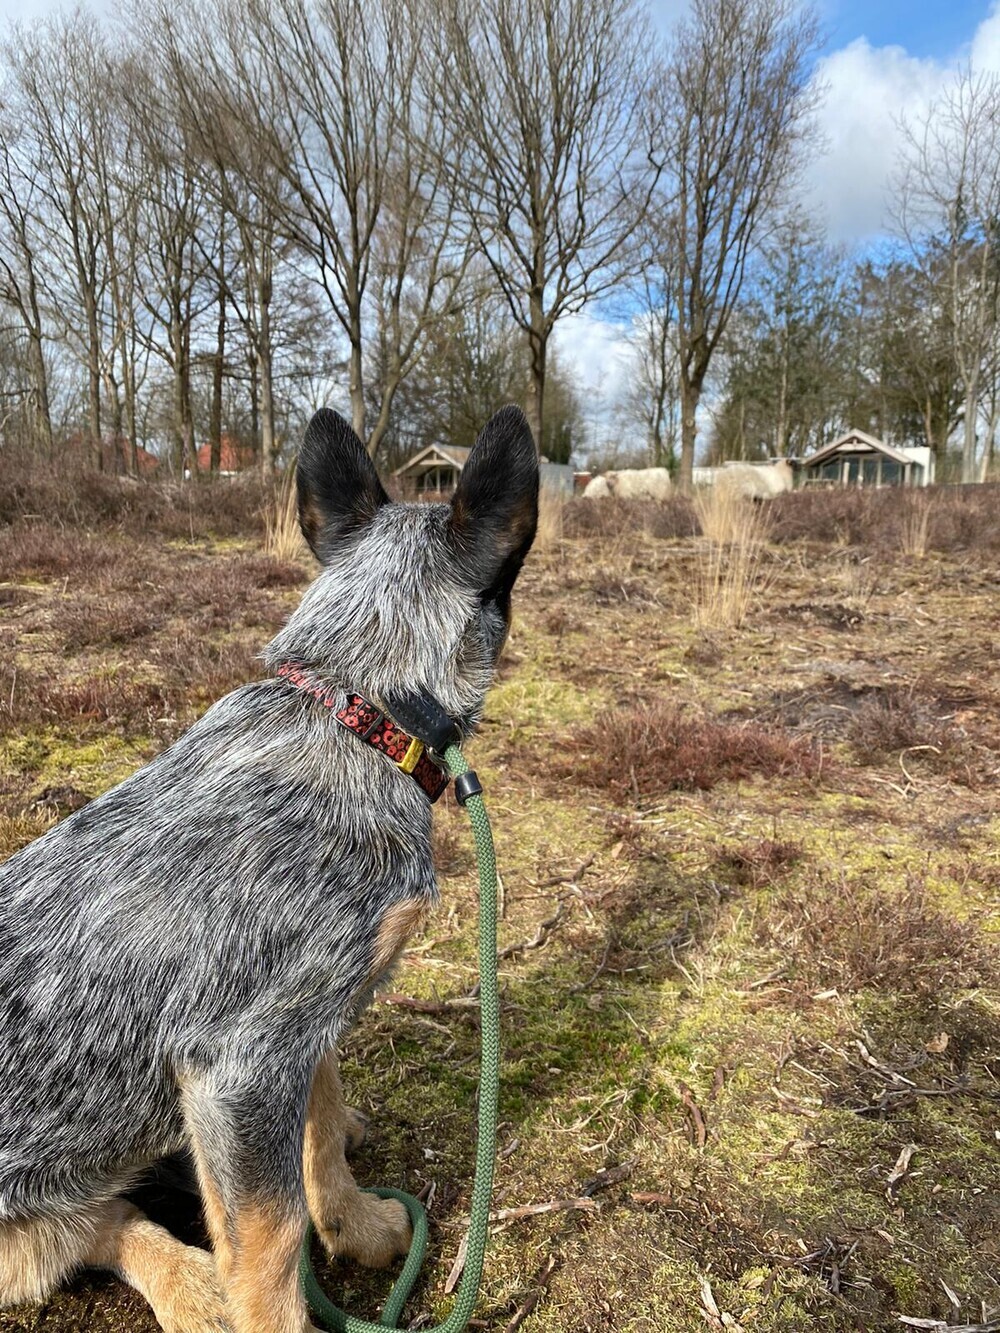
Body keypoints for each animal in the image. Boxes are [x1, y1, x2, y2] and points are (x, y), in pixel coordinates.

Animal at [0, 405, 538, 1333]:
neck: (353, 704)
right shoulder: (239, 1066)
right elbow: (271, 1244)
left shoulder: (305, 1016)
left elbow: (318, 1133)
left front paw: (356, 1224)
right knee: (93, 1231)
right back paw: (193, 1283)